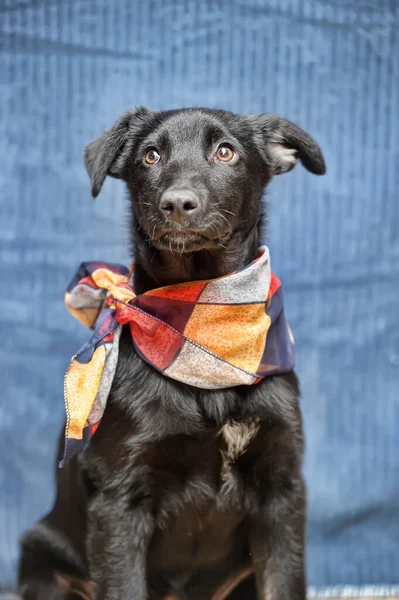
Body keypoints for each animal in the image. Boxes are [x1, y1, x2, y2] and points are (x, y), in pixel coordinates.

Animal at [18, 109, 324, 600]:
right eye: (151, 155)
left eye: (225, 152)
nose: (178, 204)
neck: (206, 337)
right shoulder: (119, 502)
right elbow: (123, 585)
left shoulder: (282, 490)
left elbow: (284, 581)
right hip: (43, 558)